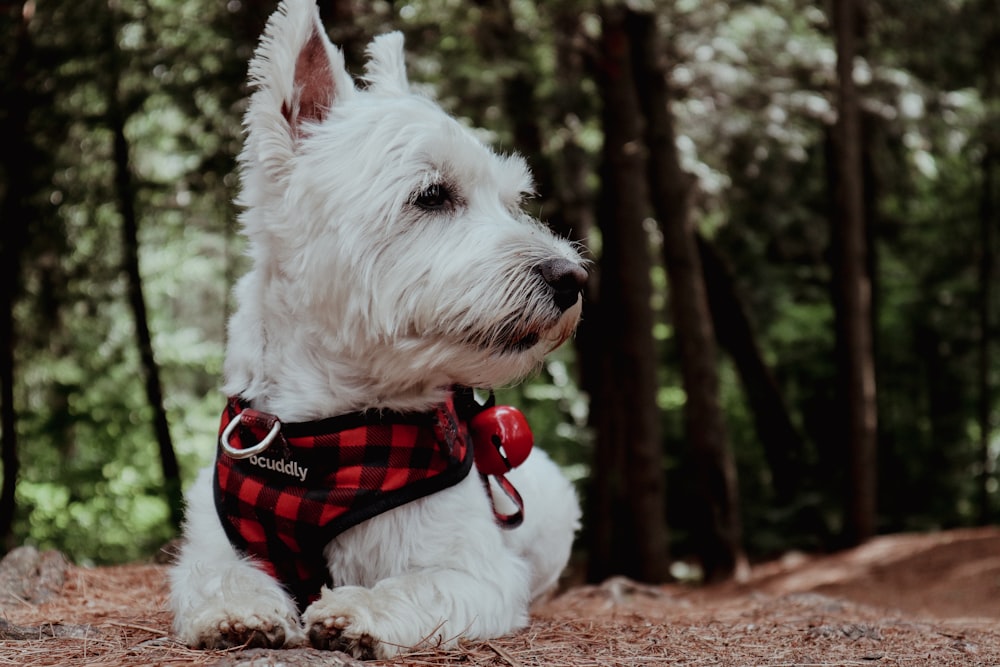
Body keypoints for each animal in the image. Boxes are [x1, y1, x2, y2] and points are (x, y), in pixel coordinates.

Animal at [170, 0, 584, 660]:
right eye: (432, 195)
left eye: (512, 200)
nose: (572, 277)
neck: (330, 434)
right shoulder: (216, 544)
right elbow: (218, 576)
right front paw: (237, 612)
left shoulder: (476, 570)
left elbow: (414, 585)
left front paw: (356, 611)